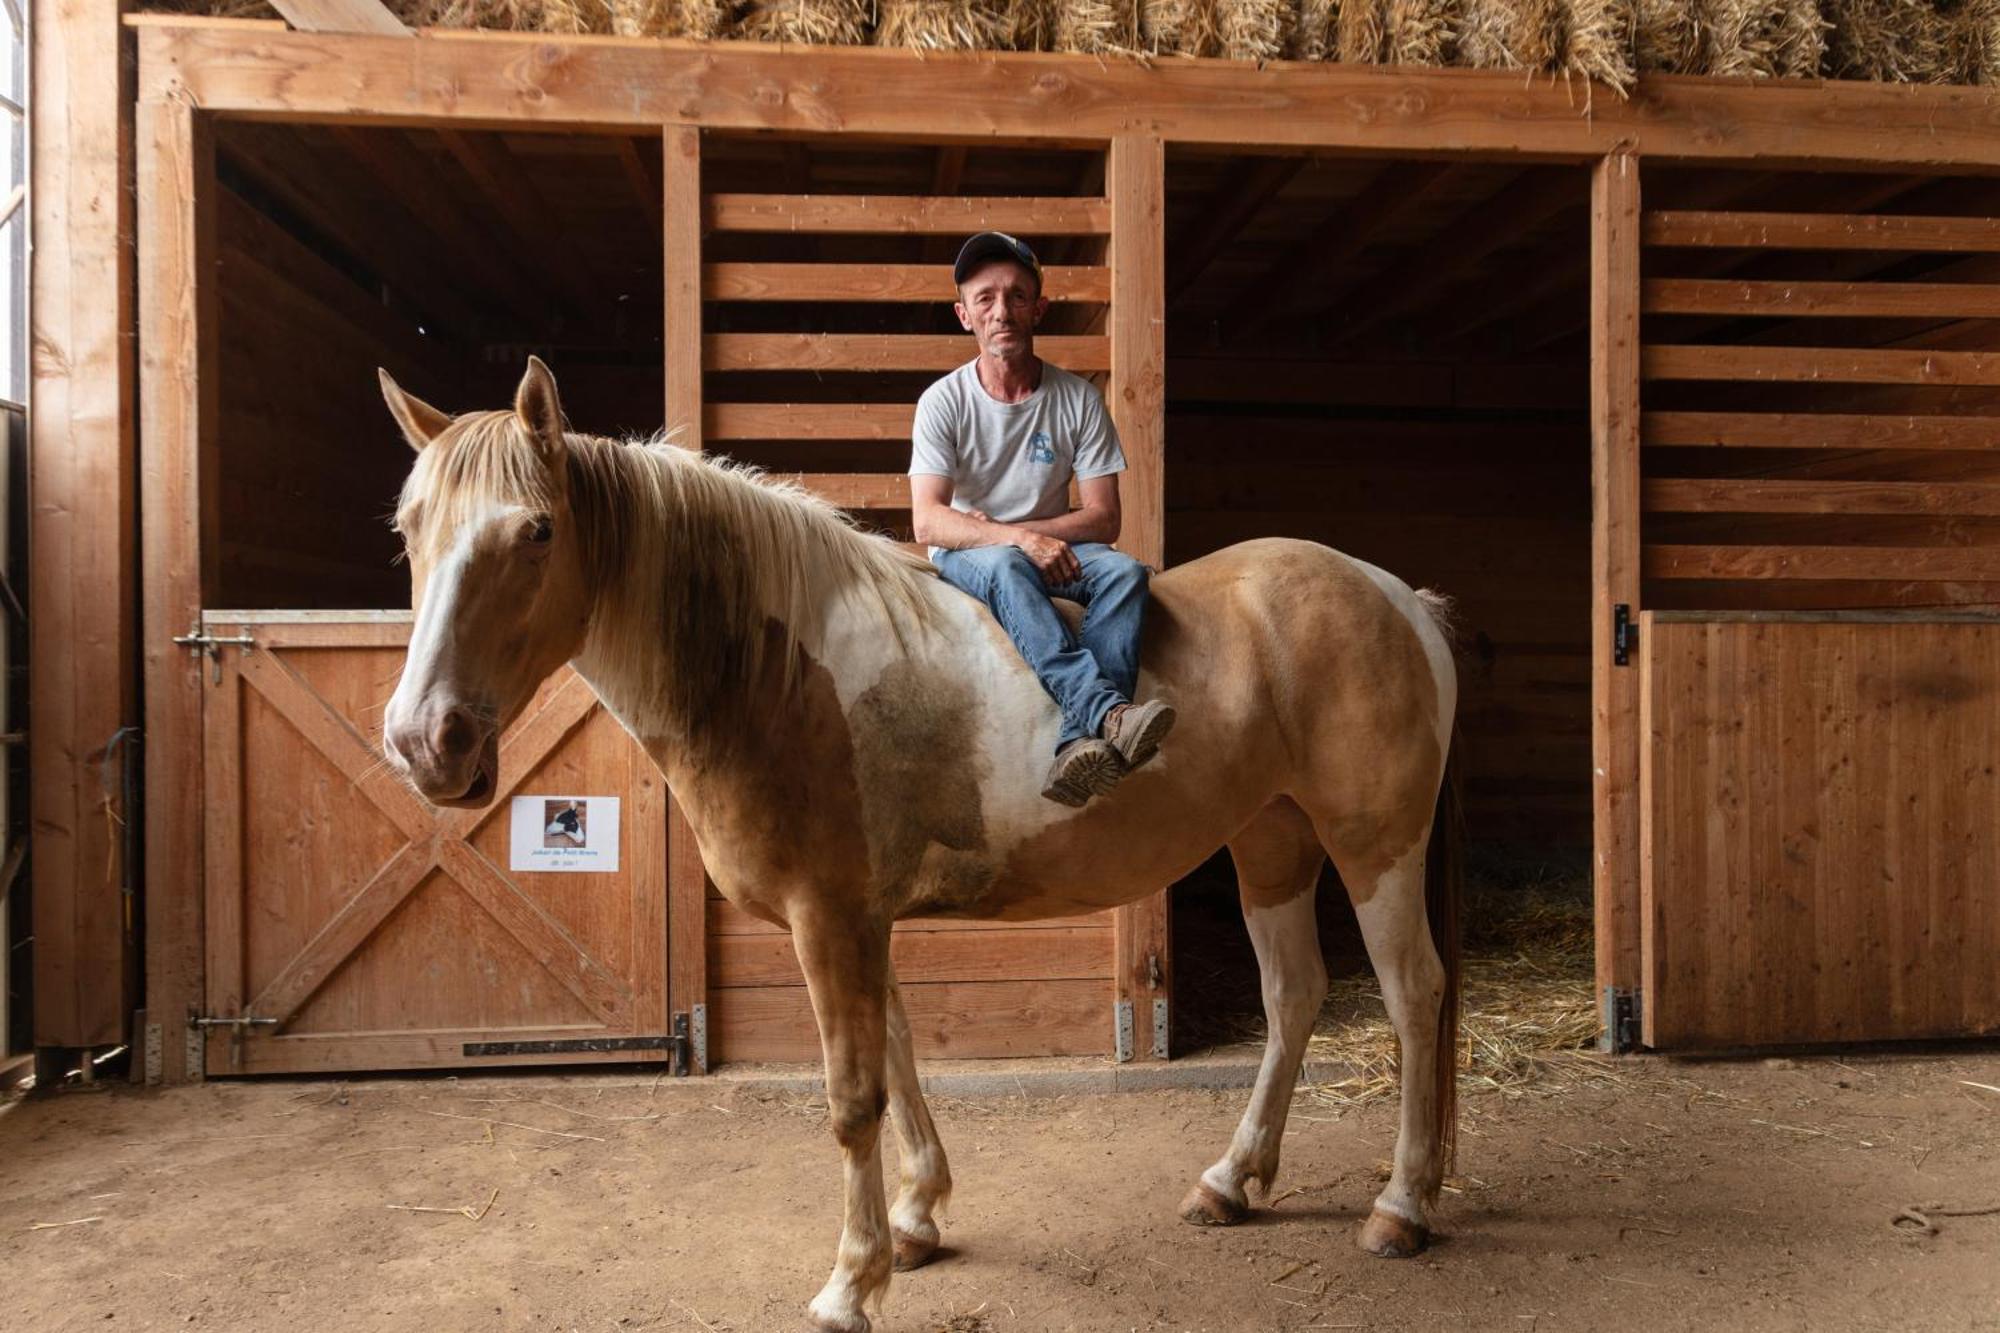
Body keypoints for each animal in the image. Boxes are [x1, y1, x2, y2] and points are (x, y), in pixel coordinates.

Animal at [378, 358, 1472, 1320]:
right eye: (409, 530)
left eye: (535, 529)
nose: (426, 742)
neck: (779, 671)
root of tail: (1395, 596)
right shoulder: (862, 919)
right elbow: (899, 1055)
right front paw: (915, 1220)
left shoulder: (828, 920)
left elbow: (851, 1094)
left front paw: (849, 1283)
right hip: (1270, 840)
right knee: (1292, 997)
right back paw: (1231, 1180)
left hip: (1374, 843)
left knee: (1412, 992)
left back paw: (1399, 1205)